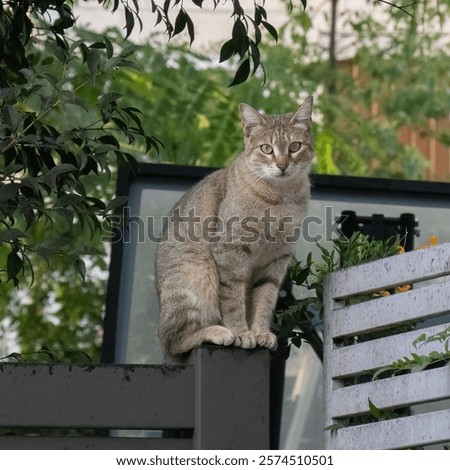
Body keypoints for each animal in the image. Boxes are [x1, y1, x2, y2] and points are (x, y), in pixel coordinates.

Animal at [156, 97, 314, 358]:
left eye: (294, 146)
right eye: (266, 149)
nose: (282, 165)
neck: (280, 197)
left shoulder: (276, 258)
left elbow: (265, 298)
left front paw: (260, 332)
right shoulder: (231, 250)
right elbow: (233, 299)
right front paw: (241, 332)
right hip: (197, 274)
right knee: (173, 341)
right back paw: (216, 331)